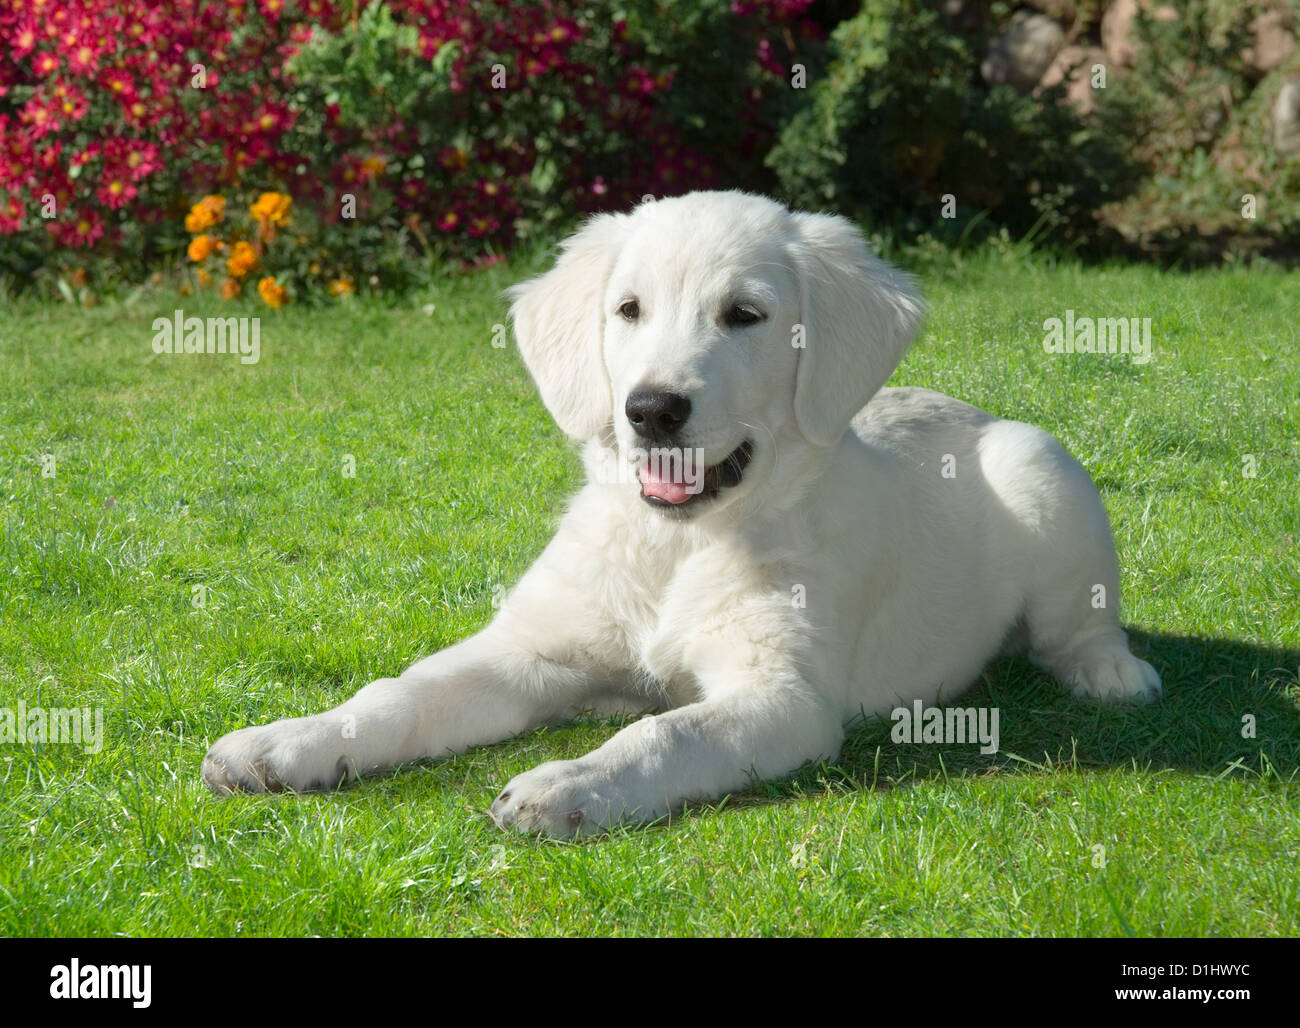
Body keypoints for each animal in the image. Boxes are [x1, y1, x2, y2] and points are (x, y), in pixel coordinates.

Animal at [208, 191, 1164, 836]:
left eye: (745, 315)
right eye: (628, 310)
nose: (652, 409)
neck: (678, 545)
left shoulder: (782, 695)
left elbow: (666, 733)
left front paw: (570, 786)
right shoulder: (534, 651)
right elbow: (399, 693)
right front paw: (286, 743)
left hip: (1042, 468)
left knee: (1079, 623)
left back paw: (1111, 672)